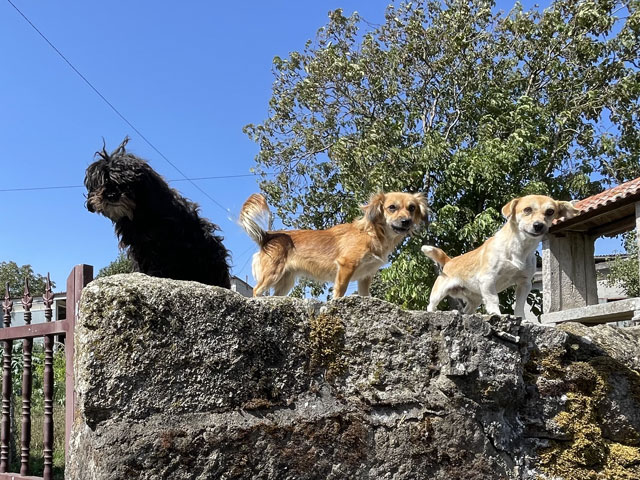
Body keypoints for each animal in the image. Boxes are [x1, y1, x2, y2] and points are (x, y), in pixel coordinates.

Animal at [84, 137, 232, 288]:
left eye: (126, 183)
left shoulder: (163, 243)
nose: (111, 194)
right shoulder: (139, 246)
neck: (139, 213)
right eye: (101, 181)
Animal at [240, 191, 428, 297]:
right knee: (256, 290)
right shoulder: (346, 266)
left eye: (412, 208)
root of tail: (268, 236)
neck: (372, 233)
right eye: (392, 207)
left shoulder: (366, 276)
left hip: (286, 281)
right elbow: (340, 291)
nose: (406, 221)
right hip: (272, 274)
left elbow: (365, 295)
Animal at [421, 195, 580, 318]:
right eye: (527, 210)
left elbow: (519, 305)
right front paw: (496, 314)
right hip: (439, 292)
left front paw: (522, 319)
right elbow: (493, 299)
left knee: (468, 309)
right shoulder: (488, 279)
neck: (520, 247)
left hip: (475, 298)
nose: (538, 225)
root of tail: (449, 260)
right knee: (431, 305)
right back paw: (432, 312)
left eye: (550, 211)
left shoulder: (524, 283)